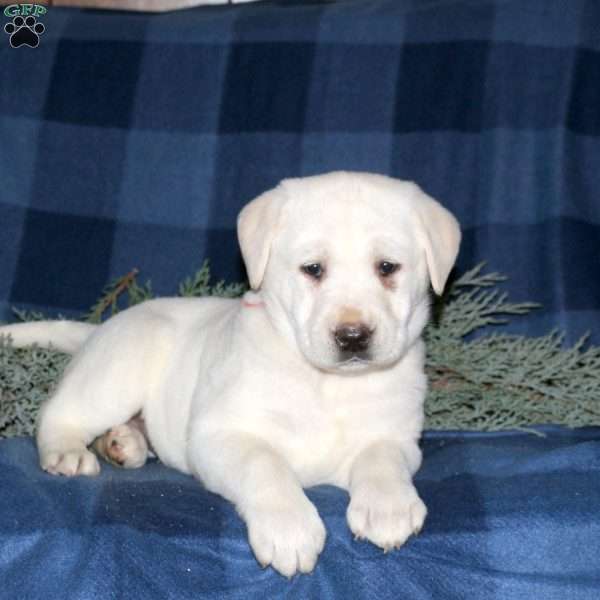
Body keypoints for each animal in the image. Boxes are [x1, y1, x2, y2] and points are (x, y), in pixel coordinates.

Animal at [1, 172, 460, 576]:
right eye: (313, 269)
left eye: (388, 267)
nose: (353, 336)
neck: (327, 382)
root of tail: (100, 329)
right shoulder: (220, 435)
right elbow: (265, 465)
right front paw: (289, 528)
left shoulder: (398, 438)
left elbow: (381, 459)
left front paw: (388, 508)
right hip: (118, 369)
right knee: (60, 413)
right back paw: (69, 451)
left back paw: (123, 443)